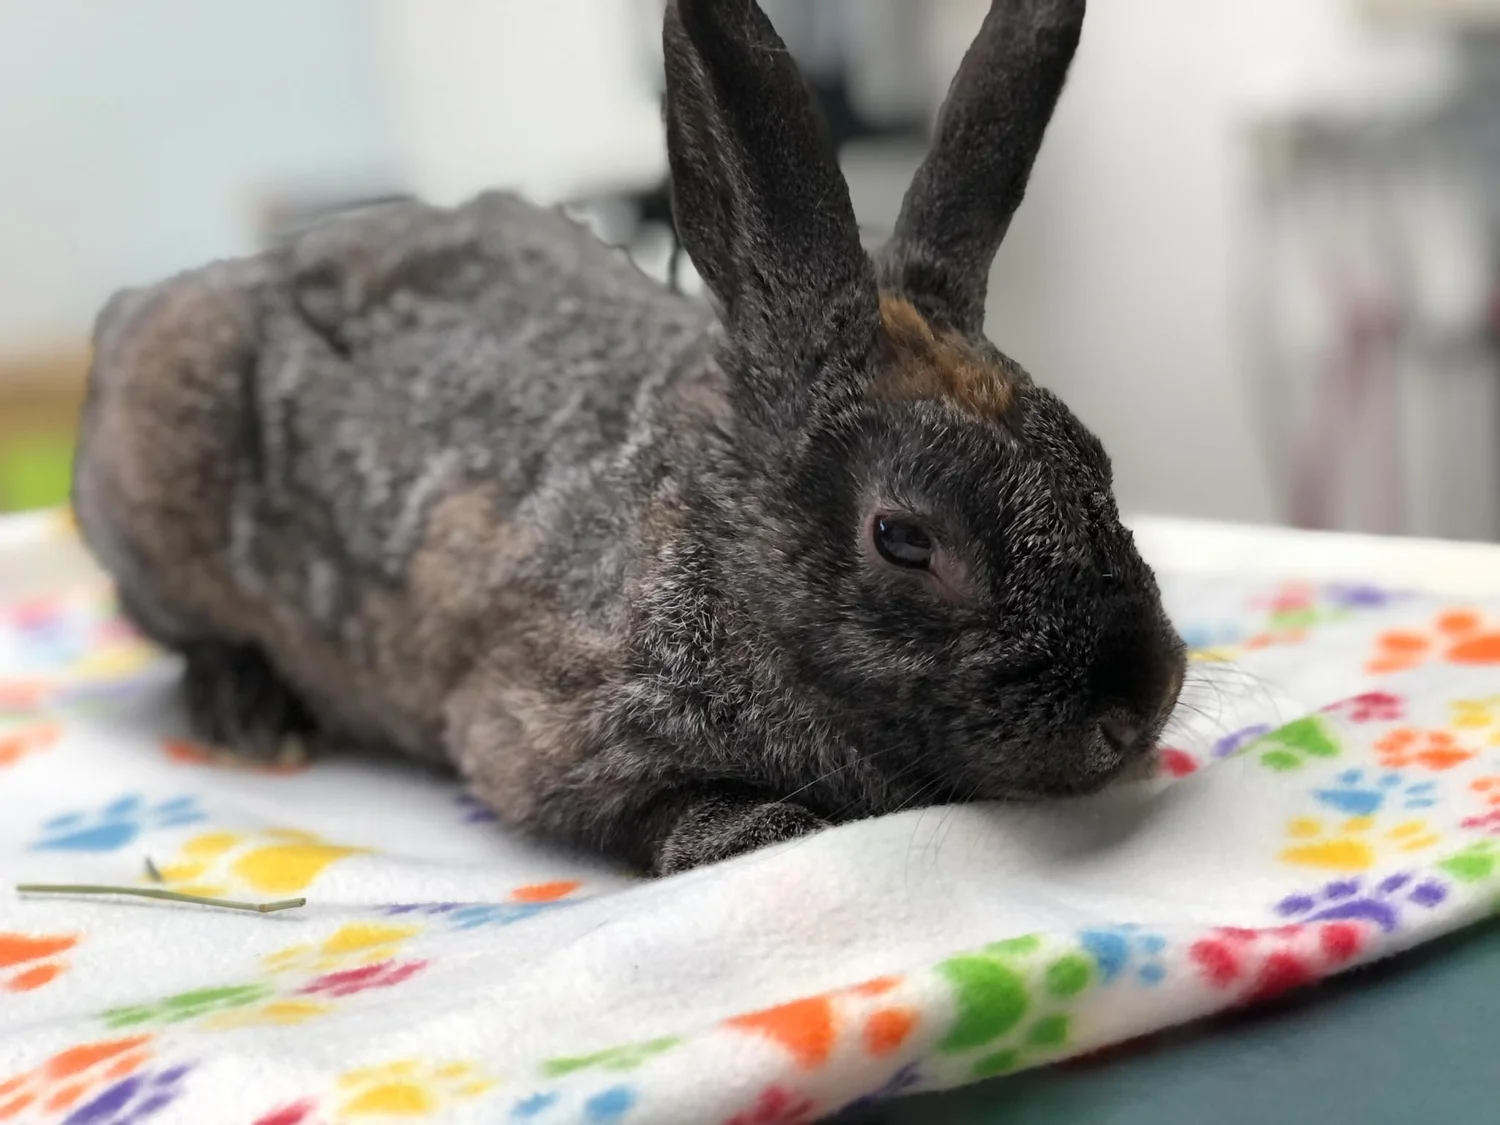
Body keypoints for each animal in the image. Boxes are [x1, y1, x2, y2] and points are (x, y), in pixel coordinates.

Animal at [72, 0, 1184, 875]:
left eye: (1098, 464)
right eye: (904, 539)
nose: (1139, 703)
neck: (720, 559)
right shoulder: (541, 727)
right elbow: (644, 809)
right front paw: (754, 832)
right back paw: (254, 717)